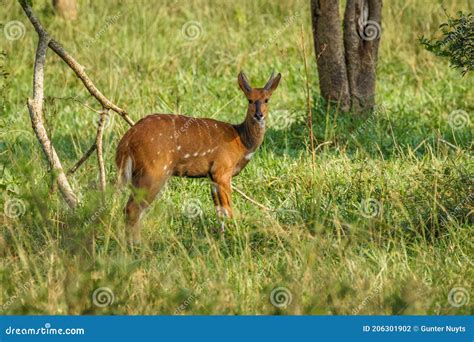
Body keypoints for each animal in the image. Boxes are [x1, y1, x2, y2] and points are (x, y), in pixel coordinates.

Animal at [117, 71, 282, 240]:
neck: (241, 141)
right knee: (133, 209)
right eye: (250, 100)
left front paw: (222, 237)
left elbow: (219, 211)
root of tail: (126, 141)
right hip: (154, 171)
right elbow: (228, 210)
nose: (258, 115)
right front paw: (234, 235)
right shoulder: (222, 171)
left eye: (266, 99)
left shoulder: (212, 176)